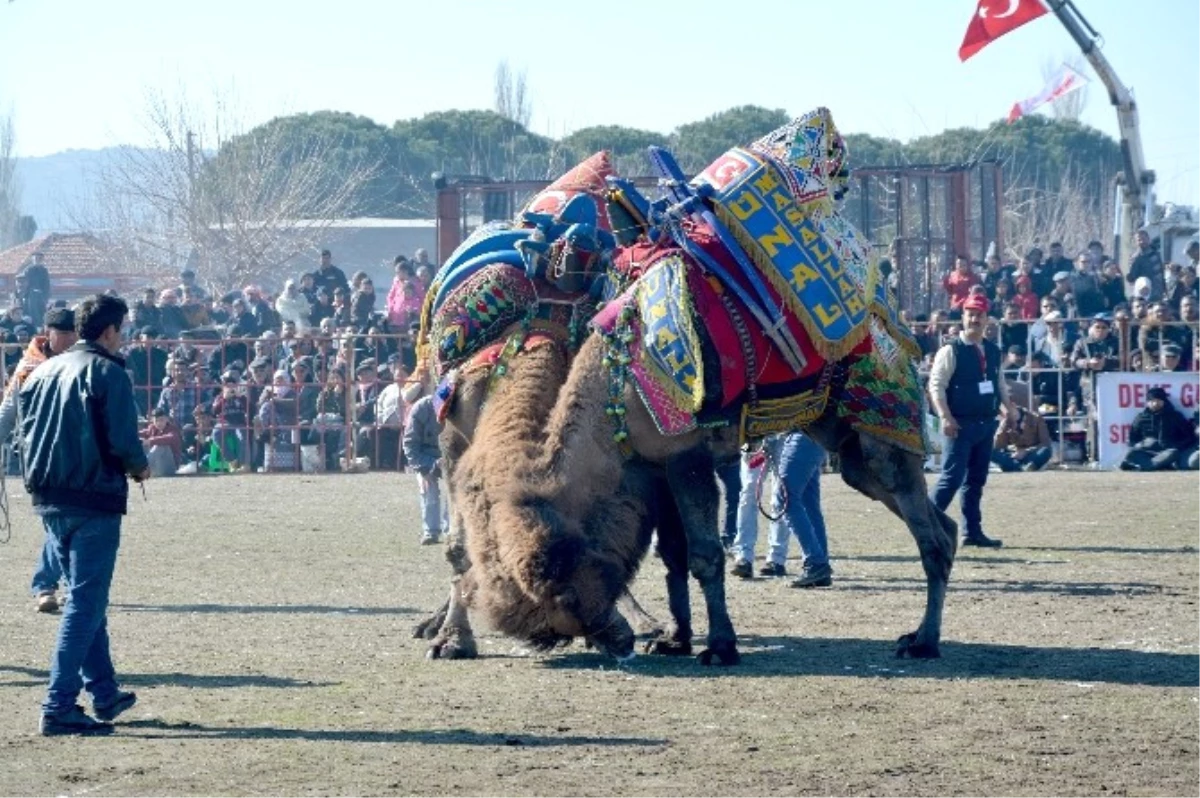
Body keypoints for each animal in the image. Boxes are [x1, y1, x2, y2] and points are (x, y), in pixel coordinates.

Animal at [439, 107, 955, 667]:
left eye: (563, 591)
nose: (614, 641)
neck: (616, 374)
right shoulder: (653, 463)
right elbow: (673, 555)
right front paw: (675, 637)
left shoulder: (686, 452)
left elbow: (705, 554)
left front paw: (720, 646)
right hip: (843, 436)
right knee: (937, 524)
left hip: (882, 415)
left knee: (932, 535)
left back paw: (924, 640)